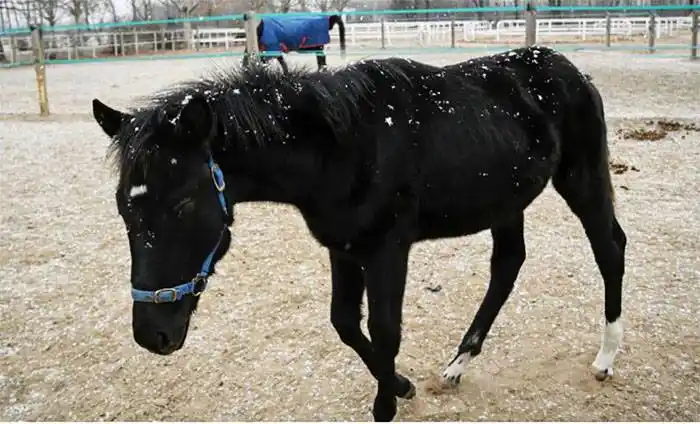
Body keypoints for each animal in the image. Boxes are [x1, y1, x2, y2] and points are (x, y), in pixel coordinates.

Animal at [91, 45, 626, 421]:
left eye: (182, 202)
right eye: (123, 207)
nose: (152, 335)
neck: (342, 149)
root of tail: (570, 69)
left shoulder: (388, 250)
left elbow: (385, 332)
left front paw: (386, 405)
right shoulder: (345, 249)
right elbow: (345, 323)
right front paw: (403, 386)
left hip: (581, 178)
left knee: (610, 248)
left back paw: (605, 358)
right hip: (506, 201)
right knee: (507, 266)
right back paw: (457, 365)